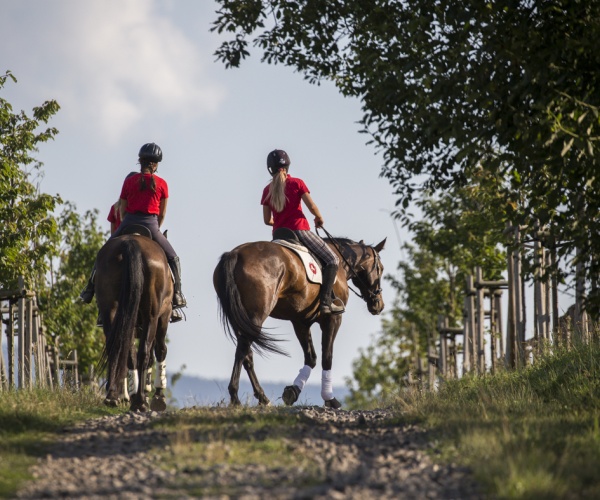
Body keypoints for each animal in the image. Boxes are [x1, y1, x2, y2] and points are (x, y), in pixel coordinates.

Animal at [95, 232, 171, 412]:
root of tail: (130, 243)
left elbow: (129, 355)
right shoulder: (164, 316)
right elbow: (159, 350)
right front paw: (157, 394)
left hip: (111, 310)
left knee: (117, 347)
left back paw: (113, 397)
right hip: (152, 315)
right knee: (144, 352)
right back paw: (140, 401)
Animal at [213, 236, 386, 408]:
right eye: (381, 269)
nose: (379, 305)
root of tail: (234, 254)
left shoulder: (301, 321)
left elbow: (311, 358)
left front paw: (293, 391)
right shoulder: (333, 319)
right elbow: (326, 358)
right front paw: (329, 398)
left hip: (241, 319)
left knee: (247, 354)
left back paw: (262, 398)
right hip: (256, 316)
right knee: (242, 350)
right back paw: (235, 398)